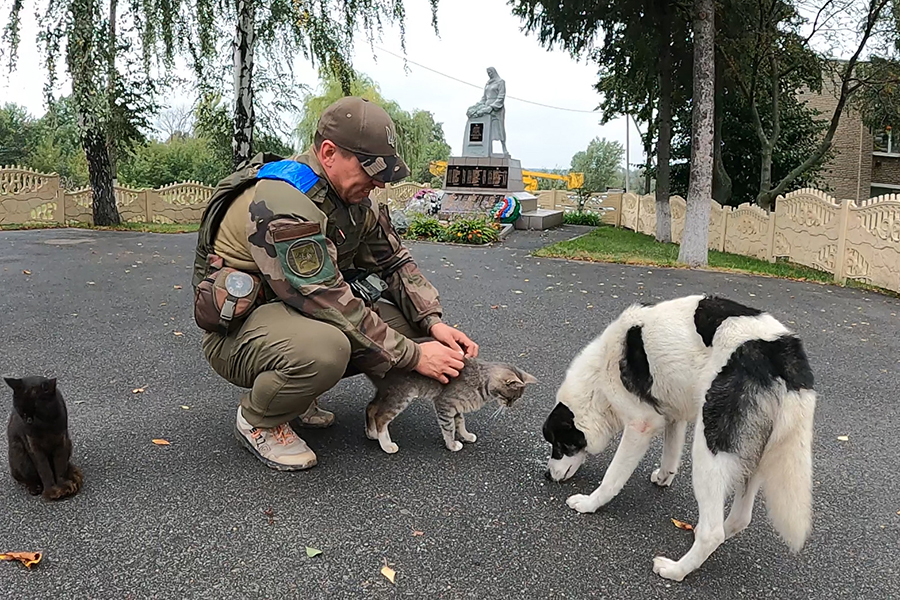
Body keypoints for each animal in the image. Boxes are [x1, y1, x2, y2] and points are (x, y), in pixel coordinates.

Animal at [540, 296, 816, 580]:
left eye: (560, 445)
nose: (547, 475)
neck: (598, 378)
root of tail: (782, 355)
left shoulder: (640, 426)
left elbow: (612, 478)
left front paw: (590, 503)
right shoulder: (673, 415)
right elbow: (670, 454)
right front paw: (663, 478)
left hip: (708, 453)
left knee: (712, 532)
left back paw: (675, 569)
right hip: (752, 459)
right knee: (739, 519)